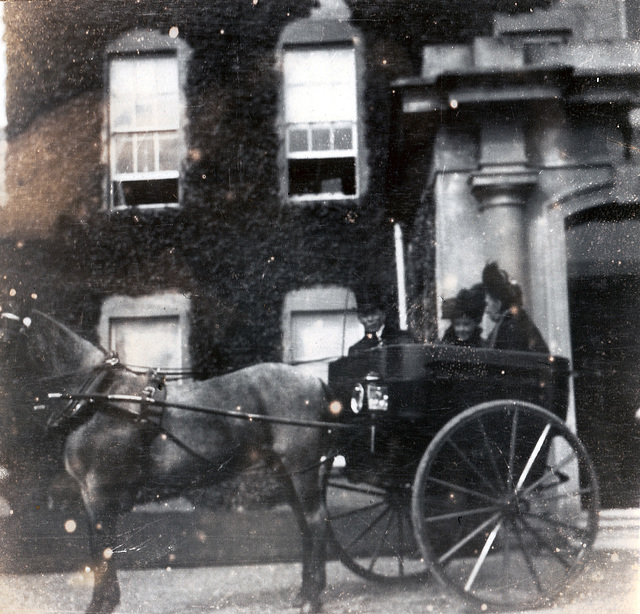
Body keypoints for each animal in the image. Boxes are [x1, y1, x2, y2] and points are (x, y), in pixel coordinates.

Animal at [5, 312, 332, 614]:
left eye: (4, 333)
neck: (99, 396)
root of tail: (315, 380)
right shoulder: (88, 493)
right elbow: (99, 547)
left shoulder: (100, 491)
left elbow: (102, 548)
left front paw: (101, 603)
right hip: (286, 472)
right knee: (305, 524)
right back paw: (304, 594)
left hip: (302, 470)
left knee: (315, 522)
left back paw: (312, 599)